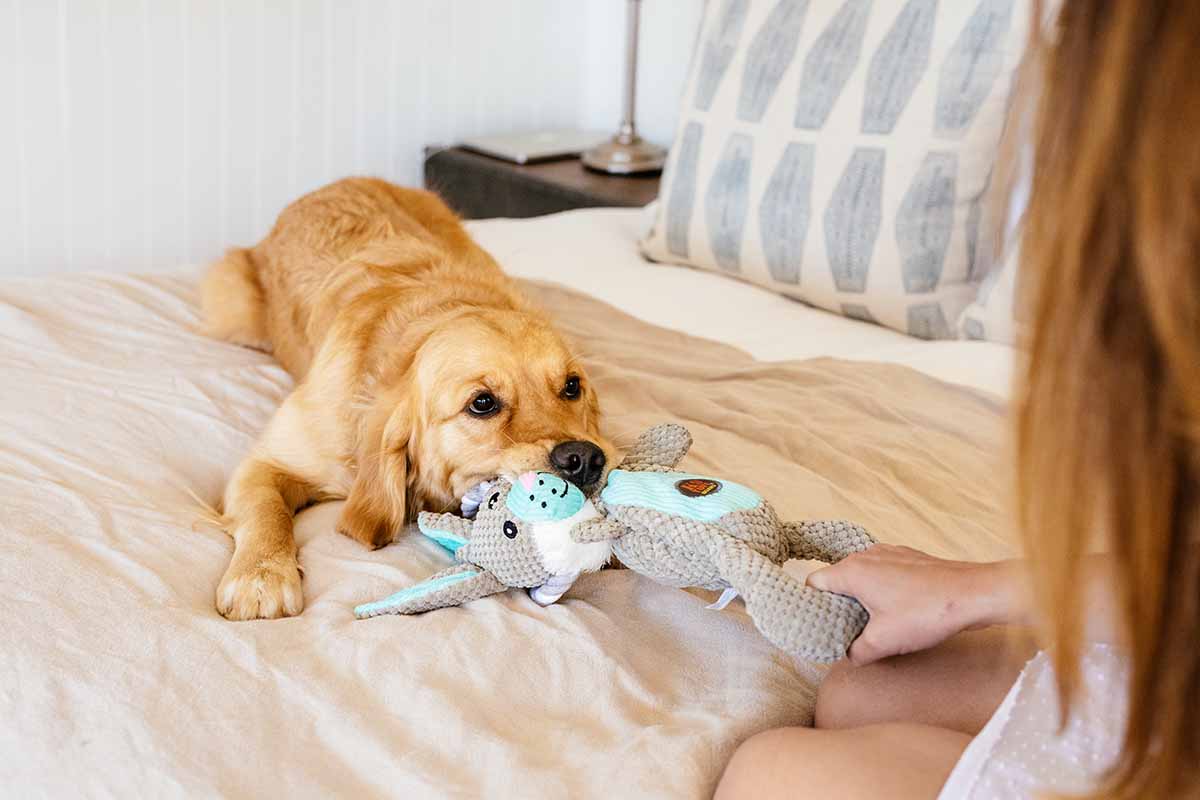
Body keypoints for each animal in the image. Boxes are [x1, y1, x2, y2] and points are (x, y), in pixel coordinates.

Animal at [202, 178, 614, 623]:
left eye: (571, 386)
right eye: (482, 403)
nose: (585, 458)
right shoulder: (270, 461)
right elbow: (266, 508)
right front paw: (262, 574)